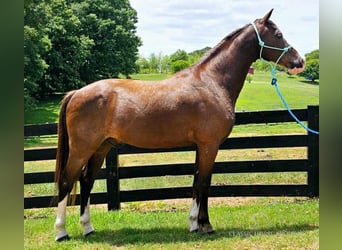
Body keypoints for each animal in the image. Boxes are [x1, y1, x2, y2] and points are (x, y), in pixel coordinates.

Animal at [53, 8, 304, 241]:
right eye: (278, 34)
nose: (299, 61)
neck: (212, 82)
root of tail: (76, 93)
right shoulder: (209, 145)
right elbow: (204, 184)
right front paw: (205, 225)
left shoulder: (200, 147)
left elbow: (195, 183)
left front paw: (193, 224)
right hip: (82, 149)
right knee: (66, 180)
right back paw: (61, 232)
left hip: (101, 147)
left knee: (86, 181)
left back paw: (88, 228)